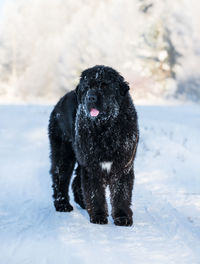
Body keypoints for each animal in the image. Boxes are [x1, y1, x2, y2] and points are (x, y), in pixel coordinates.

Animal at [48, 65, 139, 226]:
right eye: (87, 87)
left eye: (104, 86)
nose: (90, 97)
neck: (106, 129)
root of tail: (60, 101)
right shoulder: (92, 167)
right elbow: (95, 193)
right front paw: (98, 216)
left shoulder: (122, 165)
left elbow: (121, 193)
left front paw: (122, 217)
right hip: (63, 153)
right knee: (60, 177)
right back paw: (62, 204)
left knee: (76, 181)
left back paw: (82, 203)